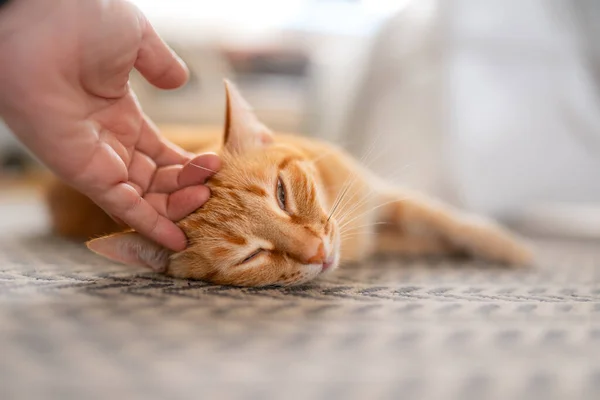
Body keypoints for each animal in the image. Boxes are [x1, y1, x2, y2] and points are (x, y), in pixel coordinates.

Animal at [48, 80, 536, 288]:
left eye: (282, 194)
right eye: (250, 257)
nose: (318, 252)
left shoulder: (381, 196)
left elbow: (444, 217)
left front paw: (507, 246)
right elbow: (424, 233)